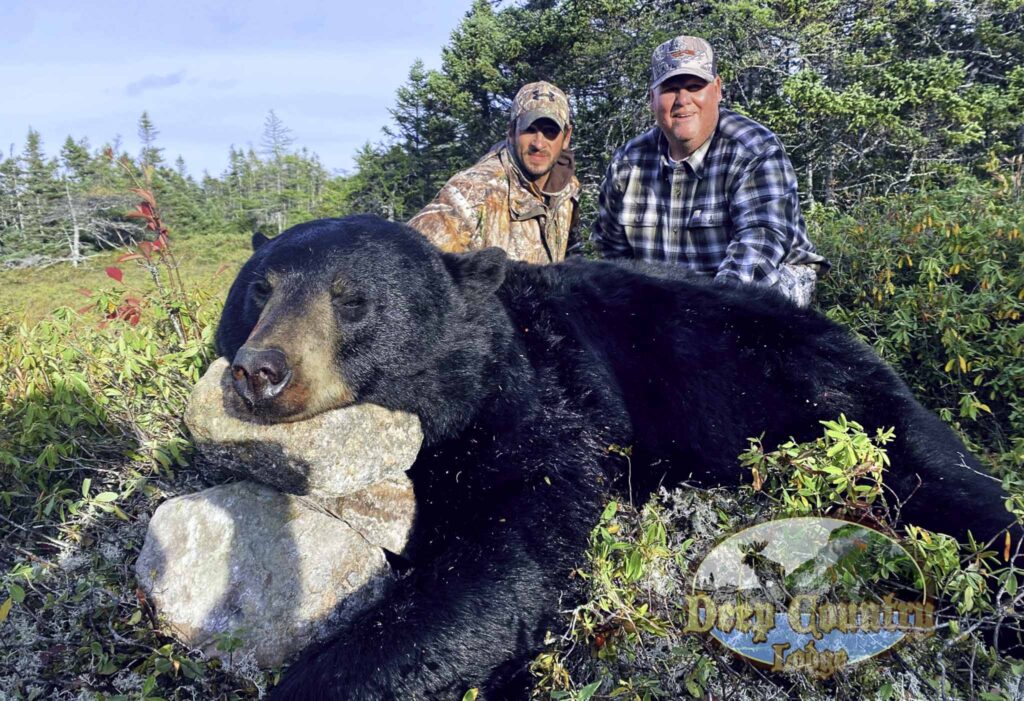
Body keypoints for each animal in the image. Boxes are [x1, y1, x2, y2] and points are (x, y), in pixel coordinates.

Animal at [214, 215, 1017, 700]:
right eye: (259, 287)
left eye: (351, 299)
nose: (260, 370)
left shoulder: (538, 406)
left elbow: (505, 559)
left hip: (823, 397)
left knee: (942, 483)